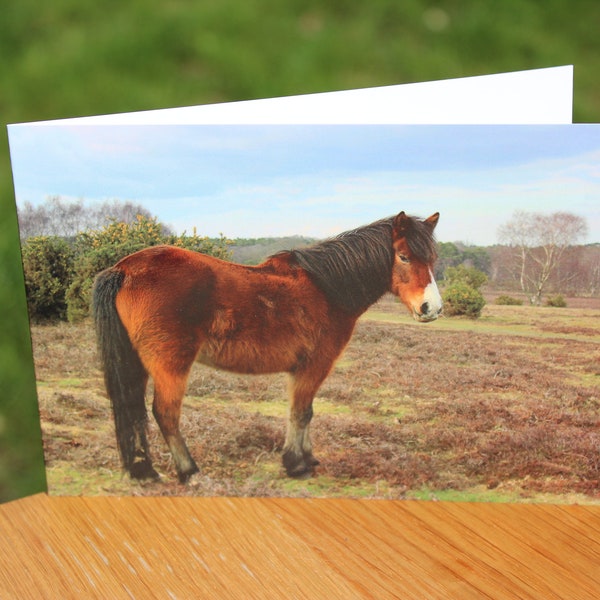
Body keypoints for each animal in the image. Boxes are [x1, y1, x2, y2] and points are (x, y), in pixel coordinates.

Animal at [92, 211, 440, 482]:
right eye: (404, 256)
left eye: (433, 259)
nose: (431, 308)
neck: (327, 289)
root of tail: (123, 268)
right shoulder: (314, 366)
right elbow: (301, 412)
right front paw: (297, 464)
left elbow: (303, 413)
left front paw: (307, 457)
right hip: (171, 365)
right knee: (165, 413)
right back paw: (189, 471)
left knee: (133, 409)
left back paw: (144, 471)